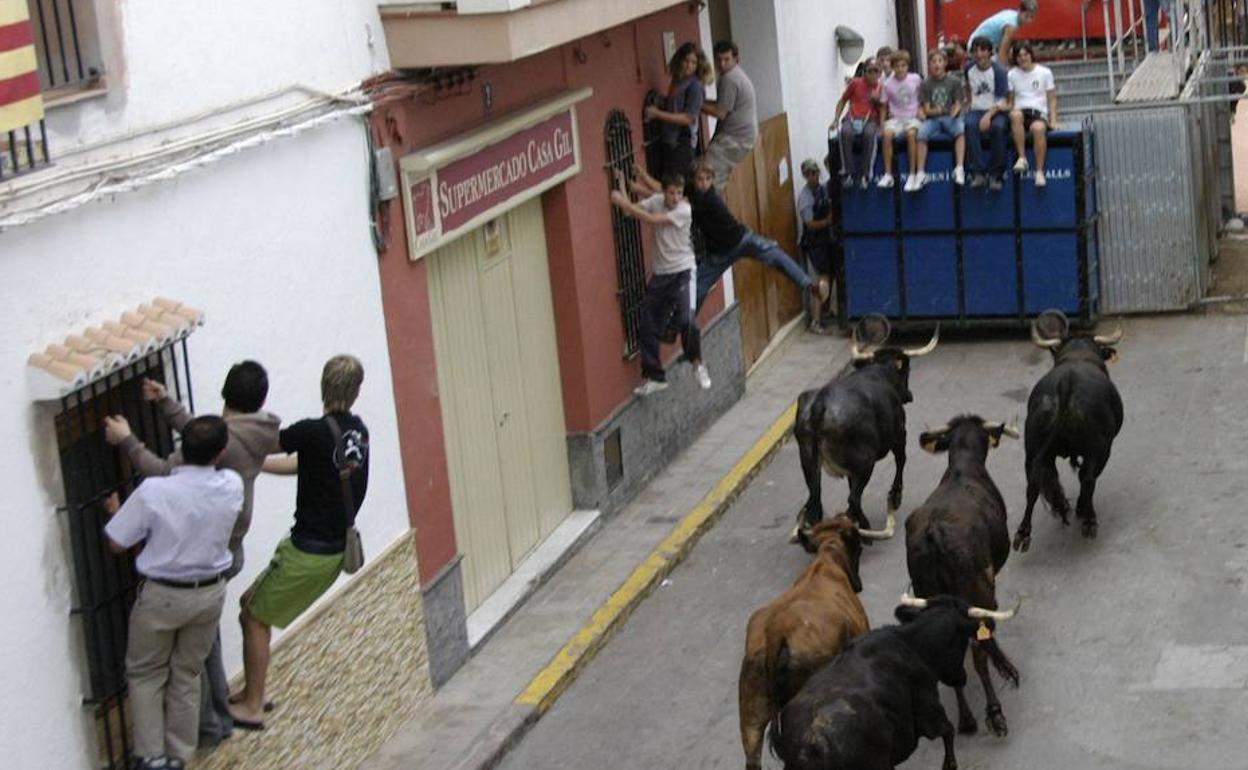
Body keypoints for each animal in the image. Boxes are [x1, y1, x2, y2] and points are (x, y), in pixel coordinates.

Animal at [773, 591, 1018, 763]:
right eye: (961, 639)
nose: (960, 678)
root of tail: (810, 742)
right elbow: (948, 731)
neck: (910, 643)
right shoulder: (929, 712)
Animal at [793, 318, 938, 534]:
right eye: (907, 371)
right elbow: (901, 460)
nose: (909, 395)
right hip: (865, 462)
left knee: (815, 500)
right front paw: (895, 496)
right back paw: (864, 525)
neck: (880, 371)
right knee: (853, 498)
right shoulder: (900, 435)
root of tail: (820, 405)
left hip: (809, 462)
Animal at [1013, 315, 1133, 549]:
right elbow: (1086, 478)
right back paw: (1087, 518)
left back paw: (1025, 532)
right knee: (1087, 479)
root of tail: (1067, 383)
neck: (1078, 355)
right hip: (1099, 449)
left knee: (1034, 484)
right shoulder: (1099, 450)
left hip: (1033, 450)